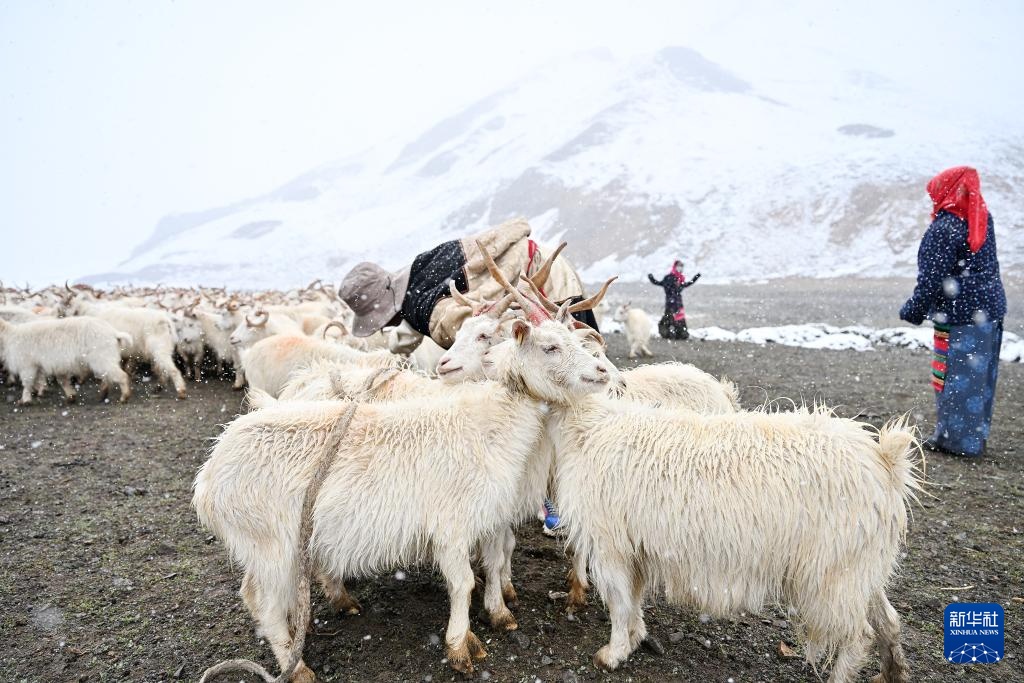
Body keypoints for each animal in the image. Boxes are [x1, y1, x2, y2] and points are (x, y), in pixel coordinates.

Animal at [0, 317, 133, 403]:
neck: (9, 335)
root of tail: (114, 333)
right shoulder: (42, 365)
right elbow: (58, 381)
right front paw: (71, 396)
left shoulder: (27, 365)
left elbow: (27, 383)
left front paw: (24, 400)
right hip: (103, 358)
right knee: (107, 376)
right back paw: (102, 395)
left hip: (102, 357)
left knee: (120, 375)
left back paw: (124, 397)